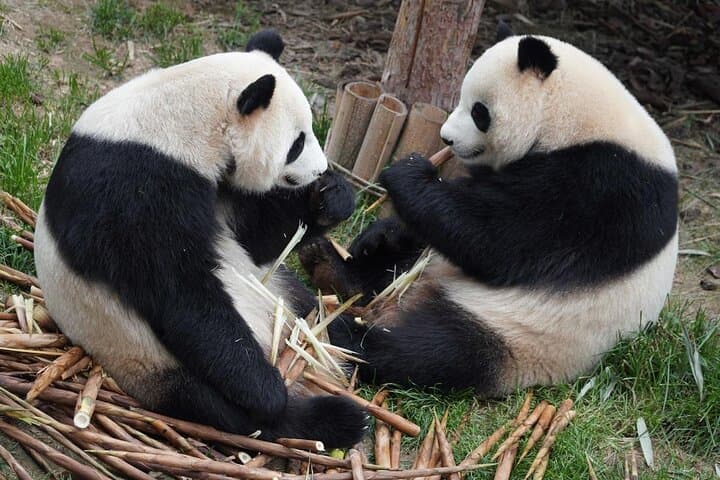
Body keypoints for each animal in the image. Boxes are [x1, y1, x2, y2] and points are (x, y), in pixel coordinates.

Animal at [33, 30, 367, 447]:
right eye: (297, 144)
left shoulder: (220, 185)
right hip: (145, 355)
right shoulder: (134, 187)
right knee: (228, 411)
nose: (320, 170)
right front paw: (268, 391)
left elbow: (257, 239)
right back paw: (333, 417)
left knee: (328, 320)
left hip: (282, 295)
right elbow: (180, 291)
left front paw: (330, 197)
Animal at [299, 28, 679, 396]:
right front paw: (377, 235)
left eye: (479, 111)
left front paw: (407, 173)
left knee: (437, 350)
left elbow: (500, 240)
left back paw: (346, 334)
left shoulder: (603, 187)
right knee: (399, 268)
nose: (446, 138)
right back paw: (331, 267)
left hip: (521, 334)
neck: (579, 119)